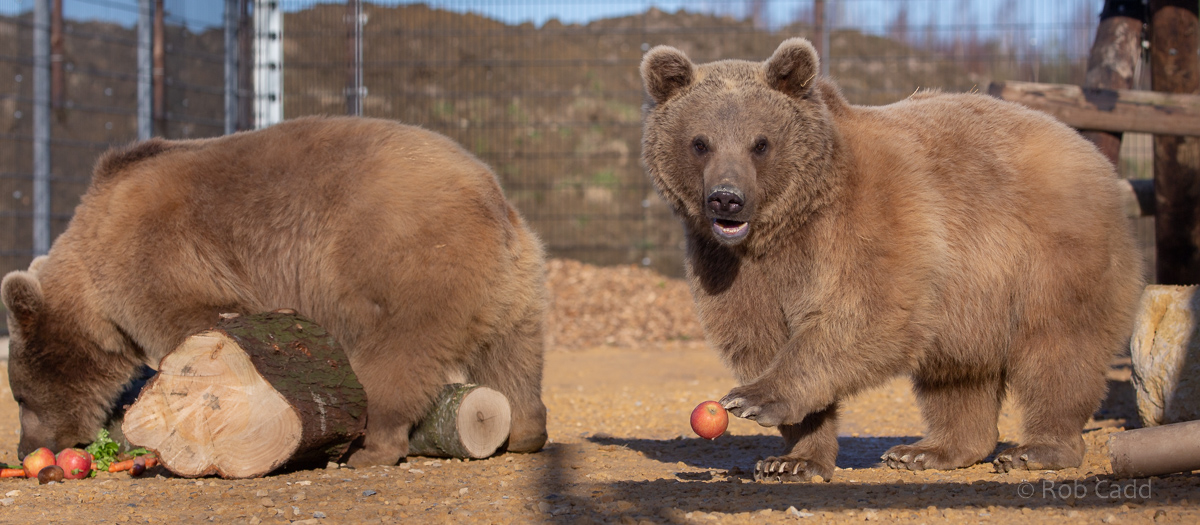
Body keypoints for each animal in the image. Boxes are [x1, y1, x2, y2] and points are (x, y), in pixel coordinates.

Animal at [2, 115, 549, 467]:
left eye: (20, 396)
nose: (25, 449)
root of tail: (490, 197)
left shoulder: (158, 257)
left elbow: (198, 325)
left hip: (403, 261)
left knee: (396, 356)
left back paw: (370, 447)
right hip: (516, 285)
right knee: (513, 360)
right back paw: (527, 430)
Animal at [640, 38, 1143, 481]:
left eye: (760, 143)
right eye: (700, 142)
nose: (727, 198)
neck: (785, 224)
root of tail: (1088, 149)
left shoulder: (873, 220)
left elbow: (869, 312)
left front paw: (754, 398)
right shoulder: (732, 267)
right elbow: (757, 335)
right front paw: (794, 458)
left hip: (1052, 253)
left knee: (1059, 348)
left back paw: (1037, 449)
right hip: (972, 303)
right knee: (956, 376)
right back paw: (928, 450)